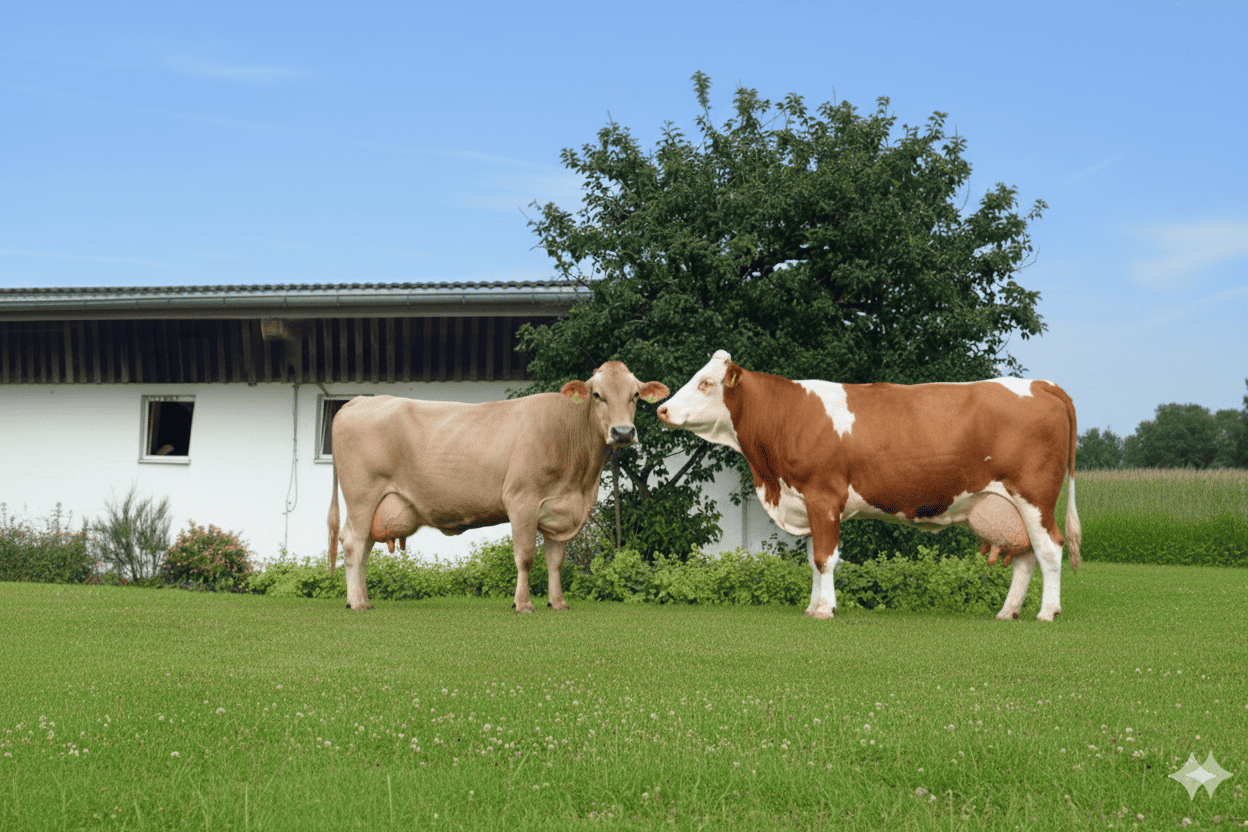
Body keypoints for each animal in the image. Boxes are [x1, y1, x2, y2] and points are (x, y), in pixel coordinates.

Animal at [327, 361, 670, 612]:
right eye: (597, 395)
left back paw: (361, 599)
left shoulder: (560, 511)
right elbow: (526, 556)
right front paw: (523, 604)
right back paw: (358, 603)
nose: (623, 432)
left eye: (635, 395)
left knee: (362, 548)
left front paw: (557, 603)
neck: (580, 481)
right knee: (354, 544)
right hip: (362, 496)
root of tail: (357, 401)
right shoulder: (522, 501)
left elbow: (556, 562)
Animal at [656, 350, 1081, 621]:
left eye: (705, 382)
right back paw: (1008, 611)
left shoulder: (824, 495)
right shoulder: (809, 503)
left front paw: (825, 610)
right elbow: (813, 558)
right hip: (1014, 506)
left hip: (1035, 496)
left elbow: (825, 557)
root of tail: (1043, 384)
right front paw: (813, 605)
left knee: (1049, 548)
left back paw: (1047, 612)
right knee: (1025, 556)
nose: (662, 409)